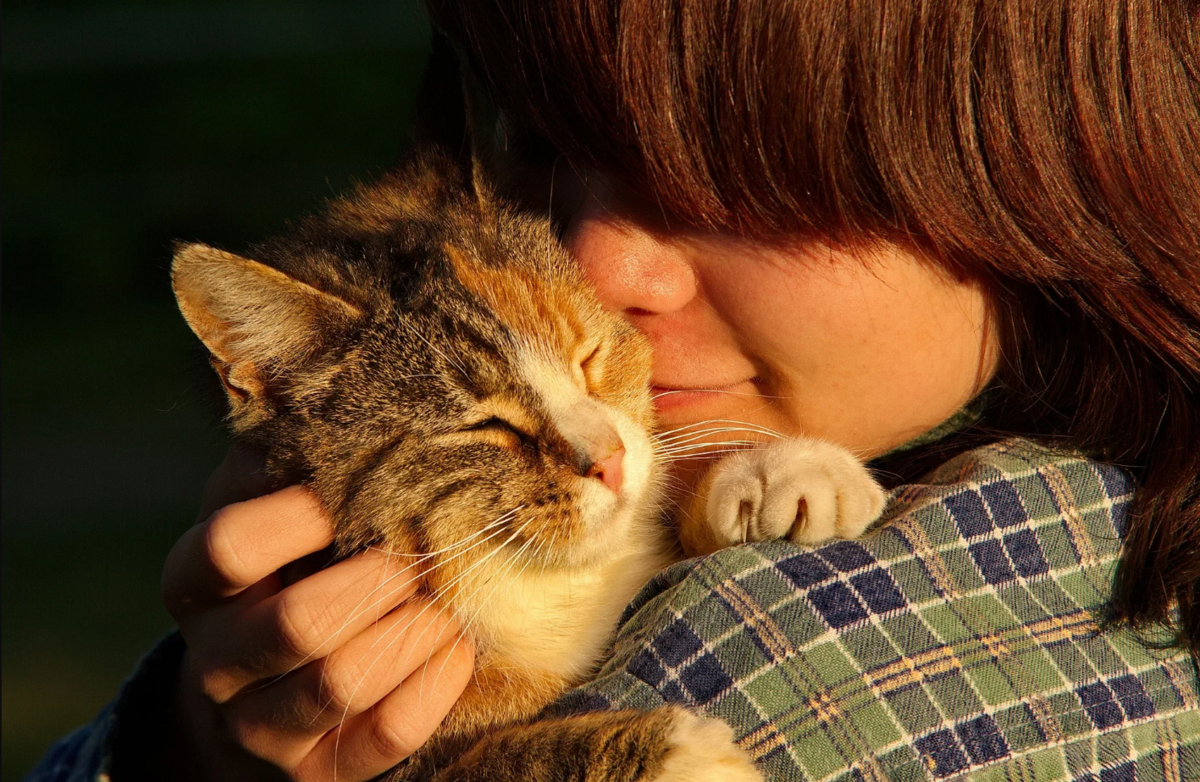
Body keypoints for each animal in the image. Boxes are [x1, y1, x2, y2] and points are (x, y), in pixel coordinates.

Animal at [172, 147, 886, 781]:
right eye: (486, 425)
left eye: (589, 354)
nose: (610, 461)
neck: (532, 586)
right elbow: (494, 762)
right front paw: (672, 754)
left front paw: (776, 475)